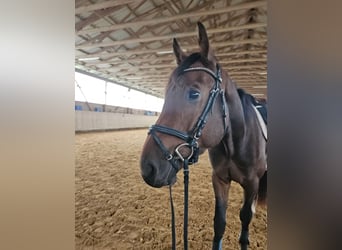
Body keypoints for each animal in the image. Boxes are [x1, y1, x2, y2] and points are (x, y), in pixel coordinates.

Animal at [140, 22, 268, 250]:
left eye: (194, 93)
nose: (148, 167)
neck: (236, 140)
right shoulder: (219, 179)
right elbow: (219, 223)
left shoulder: (252, 182)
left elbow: (245, 219)